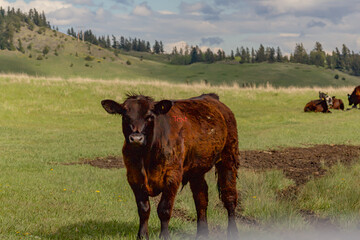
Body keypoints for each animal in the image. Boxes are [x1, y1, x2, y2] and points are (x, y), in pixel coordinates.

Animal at [101, 94, 239, 240]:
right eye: (125, 116)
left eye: (149, 116)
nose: (136, 138)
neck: (146, 156)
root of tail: (211, 97)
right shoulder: (134, 176)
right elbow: (143, 209)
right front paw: (142, 235)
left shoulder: (172, 176)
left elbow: (164, 209)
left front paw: (164, 236)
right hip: (196, 169)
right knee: (201, 197)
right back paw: (202, 233)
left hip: (229, 157)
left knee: (229, 196)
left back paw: (232, 231)